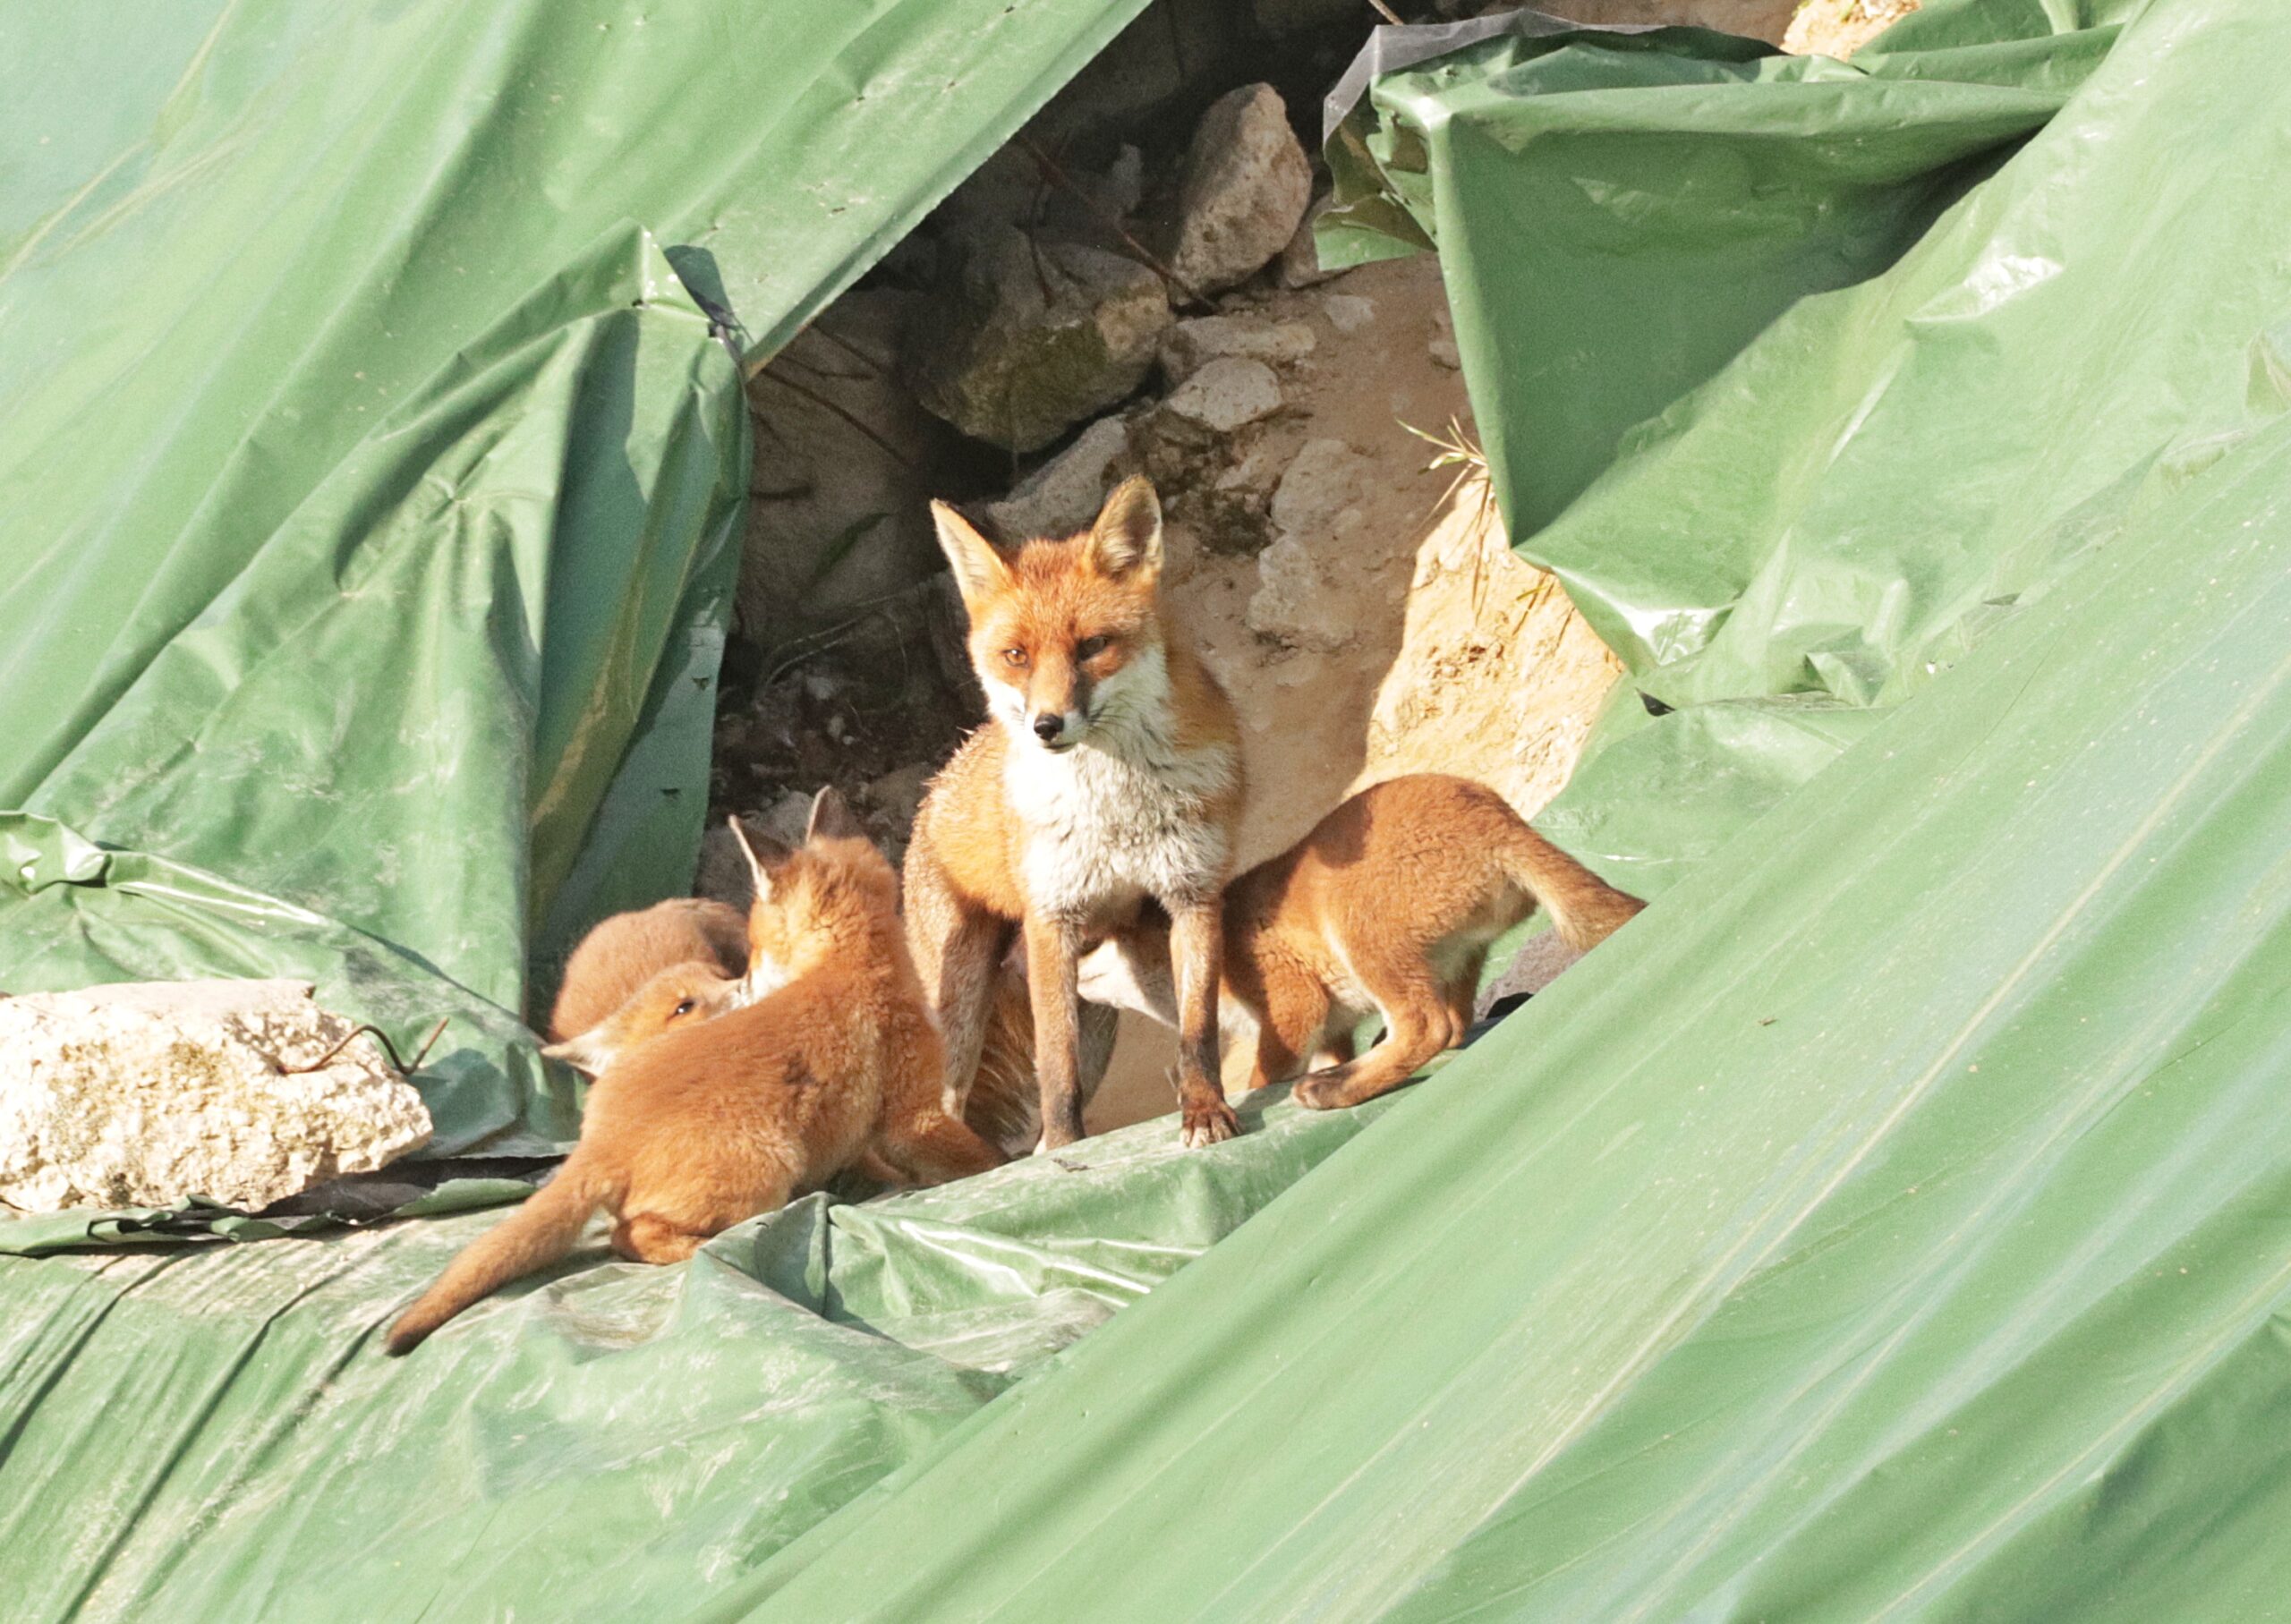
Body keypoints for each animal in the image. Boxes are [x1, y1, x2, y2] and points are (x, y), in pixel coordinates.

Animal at [904, 475, 1245, 1151]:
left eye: (1093, 646)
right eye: (1016, 655)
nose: (1046, 725)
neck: (1114, 815)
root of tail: (930, 794)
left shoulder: (1192, 894)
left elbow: (1198, 1028)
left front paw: (1205, 1108)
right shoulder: (1052, 918)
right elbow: (1056, 1069)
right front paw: (1068, 1150)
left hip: (1108, 999)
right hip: (961, 1017)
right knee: (950, 1110)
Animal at [1076, 774, 1645, 1112]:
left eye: (1086, 944)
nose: (1067, 990)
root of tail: (1498, 818)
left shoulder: (1292, 1004)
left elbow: (1261, 1081)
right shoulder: (1333, 1030)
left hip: (1357, 929)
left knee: (1428, 1028)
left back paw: (1335, 1091)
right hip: (1452, 963)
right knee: (1457, 1026)